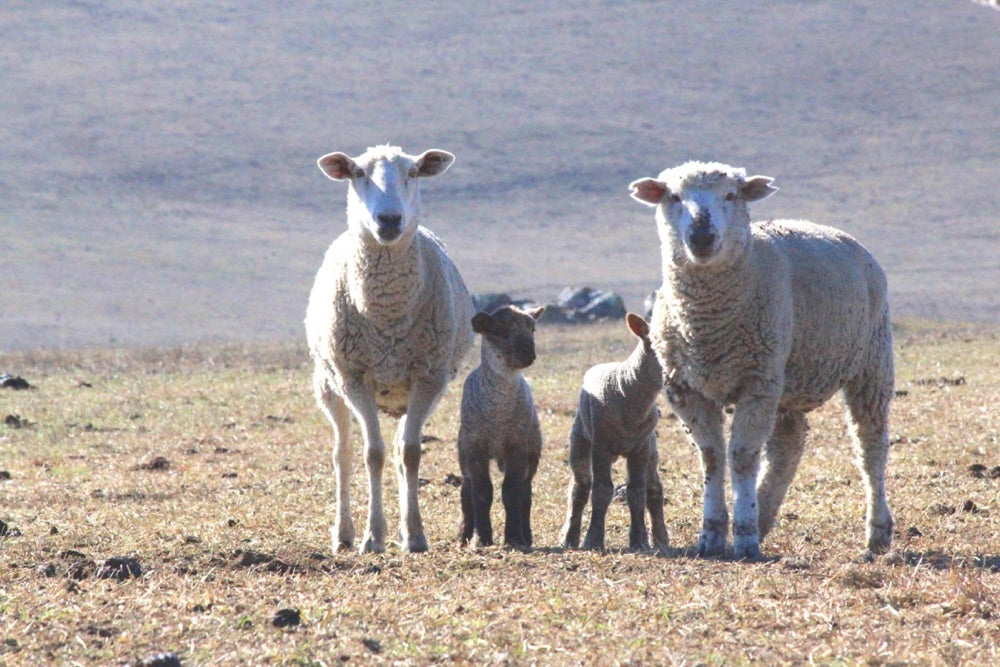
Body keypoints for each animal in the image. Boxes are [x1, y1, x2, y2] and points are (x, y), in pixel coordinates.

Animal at [304, 145, 476, 552]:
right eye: (357, 173)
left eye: (412, 173)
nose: (389, 219)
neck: (387, 313)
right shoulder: (354, 376)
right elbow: (372, 454)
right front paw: (372, 537)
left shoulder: (428, 376)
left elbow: (409, 453)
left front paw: (413, 534)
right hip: (327, 383)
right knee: (343, 455)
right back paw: (343, 534)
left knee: (399, 448)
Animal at [458, 306, 544, 552]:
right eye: (501, 330)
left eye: (532, 329)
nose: (529, 353)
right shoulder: (474, 446)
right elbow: (481, 492)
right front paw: (481, 539)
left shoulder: (517, 445)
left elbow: (512, 491)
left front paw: (514, 538)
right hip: (462, 452)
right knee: (465, 491)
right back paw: (464, 535)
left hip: (533, 453)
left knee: (526, 493)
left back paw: (526, 535)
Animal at [560, 316, 668, 556]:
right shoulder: (601, 444)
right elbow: (601, 490)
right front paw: (593, 540)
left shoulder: (641, 447)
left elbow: (637, 491)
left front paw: (639, 540)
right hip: (581, 437)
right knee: (580, 487)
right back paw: (569, 538)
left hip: (653, 448)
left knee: (654, 488)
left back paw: (662, 540)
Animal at [628, 160, 896, 560]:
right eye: (673, 196)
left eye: (730, 195)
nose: (702, 236)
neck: (708, 323)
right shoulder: (686, 388)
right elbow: (711, 456)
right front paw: (712, 534)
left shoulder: (757, 383)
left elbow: (740, 456)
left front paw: (743, 537)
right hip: (788, 377)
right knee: (789, 444)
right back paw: (764, 512)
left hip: (871, 362)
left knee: (870, 445)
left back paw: (877, 532)